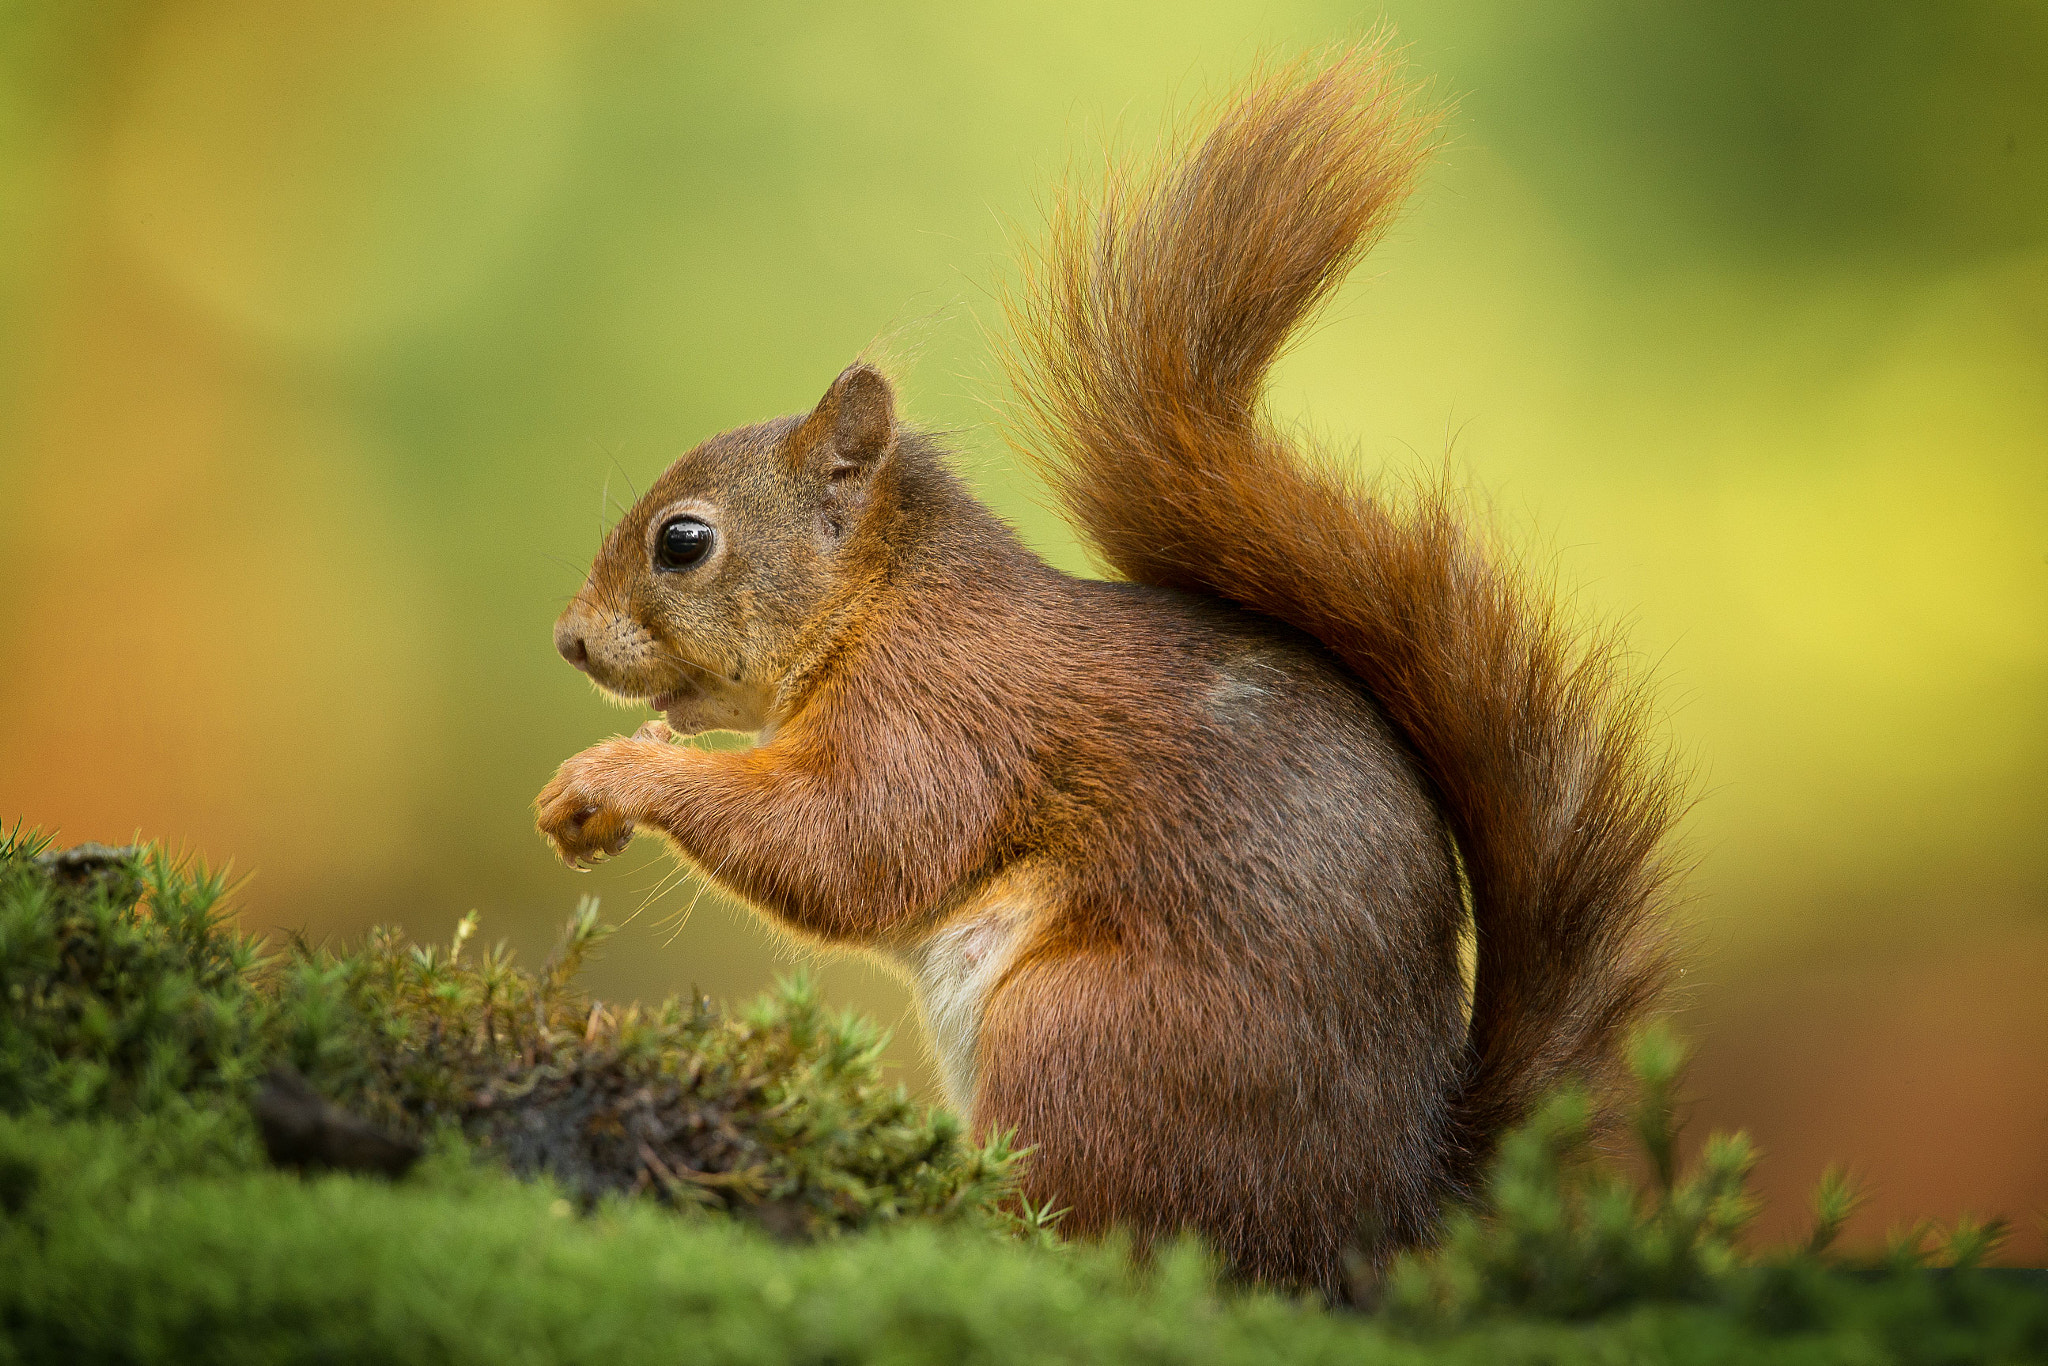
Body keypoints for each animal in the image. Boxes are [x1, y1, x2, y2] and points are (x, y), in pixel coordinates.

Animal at [540, 42, 1679, 1302]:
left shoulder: (947, 714)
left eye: (682, 541)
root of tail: (1379, 1220)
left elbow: (851, 848)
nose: (569, 641)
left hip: (1086, 1037)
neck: (884, 602)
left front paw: (616, 774)